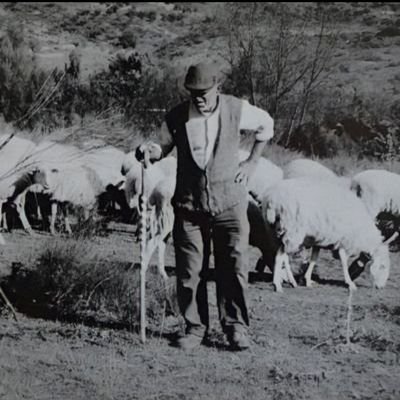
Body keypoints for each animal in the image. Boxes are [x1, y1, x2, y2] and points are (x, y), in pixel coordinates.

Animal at [260, 179, 390, 294]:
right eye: (383, 266)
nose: (381, 287)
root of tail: (273, 199)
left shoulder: (318, 240)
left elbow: (314, 259)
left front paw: (307, 280)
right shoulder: (342, 240)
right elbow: (343, 261)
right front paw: (350, 283)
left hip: (277, 231)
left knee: (283, 256)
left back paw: (292, 282)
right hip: (292, 230)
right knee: (280, 256)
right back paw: (277, 285)